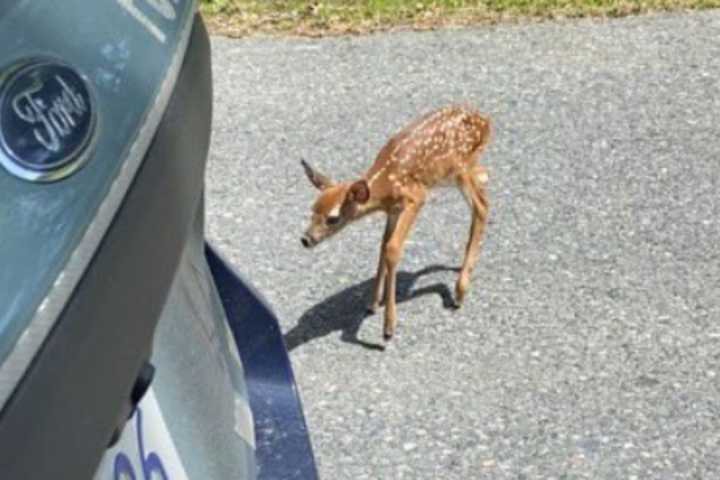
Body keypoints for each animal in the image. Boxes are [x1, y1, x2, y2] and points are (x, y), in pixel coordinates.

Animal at [298, 106, 490, 342]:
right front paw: (372, 303)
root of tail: (486, 121)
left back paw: (460, 291)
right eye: (312, 209)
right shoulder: (393, 210)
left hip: (458, 168)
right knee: (484, 189)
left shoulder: (416, 197)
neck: (385, 185)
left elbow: (392, 248)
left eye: (333, 218)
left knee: (481, 207)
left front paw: (388, 326)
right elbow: (383, 244)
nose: (306, 239)